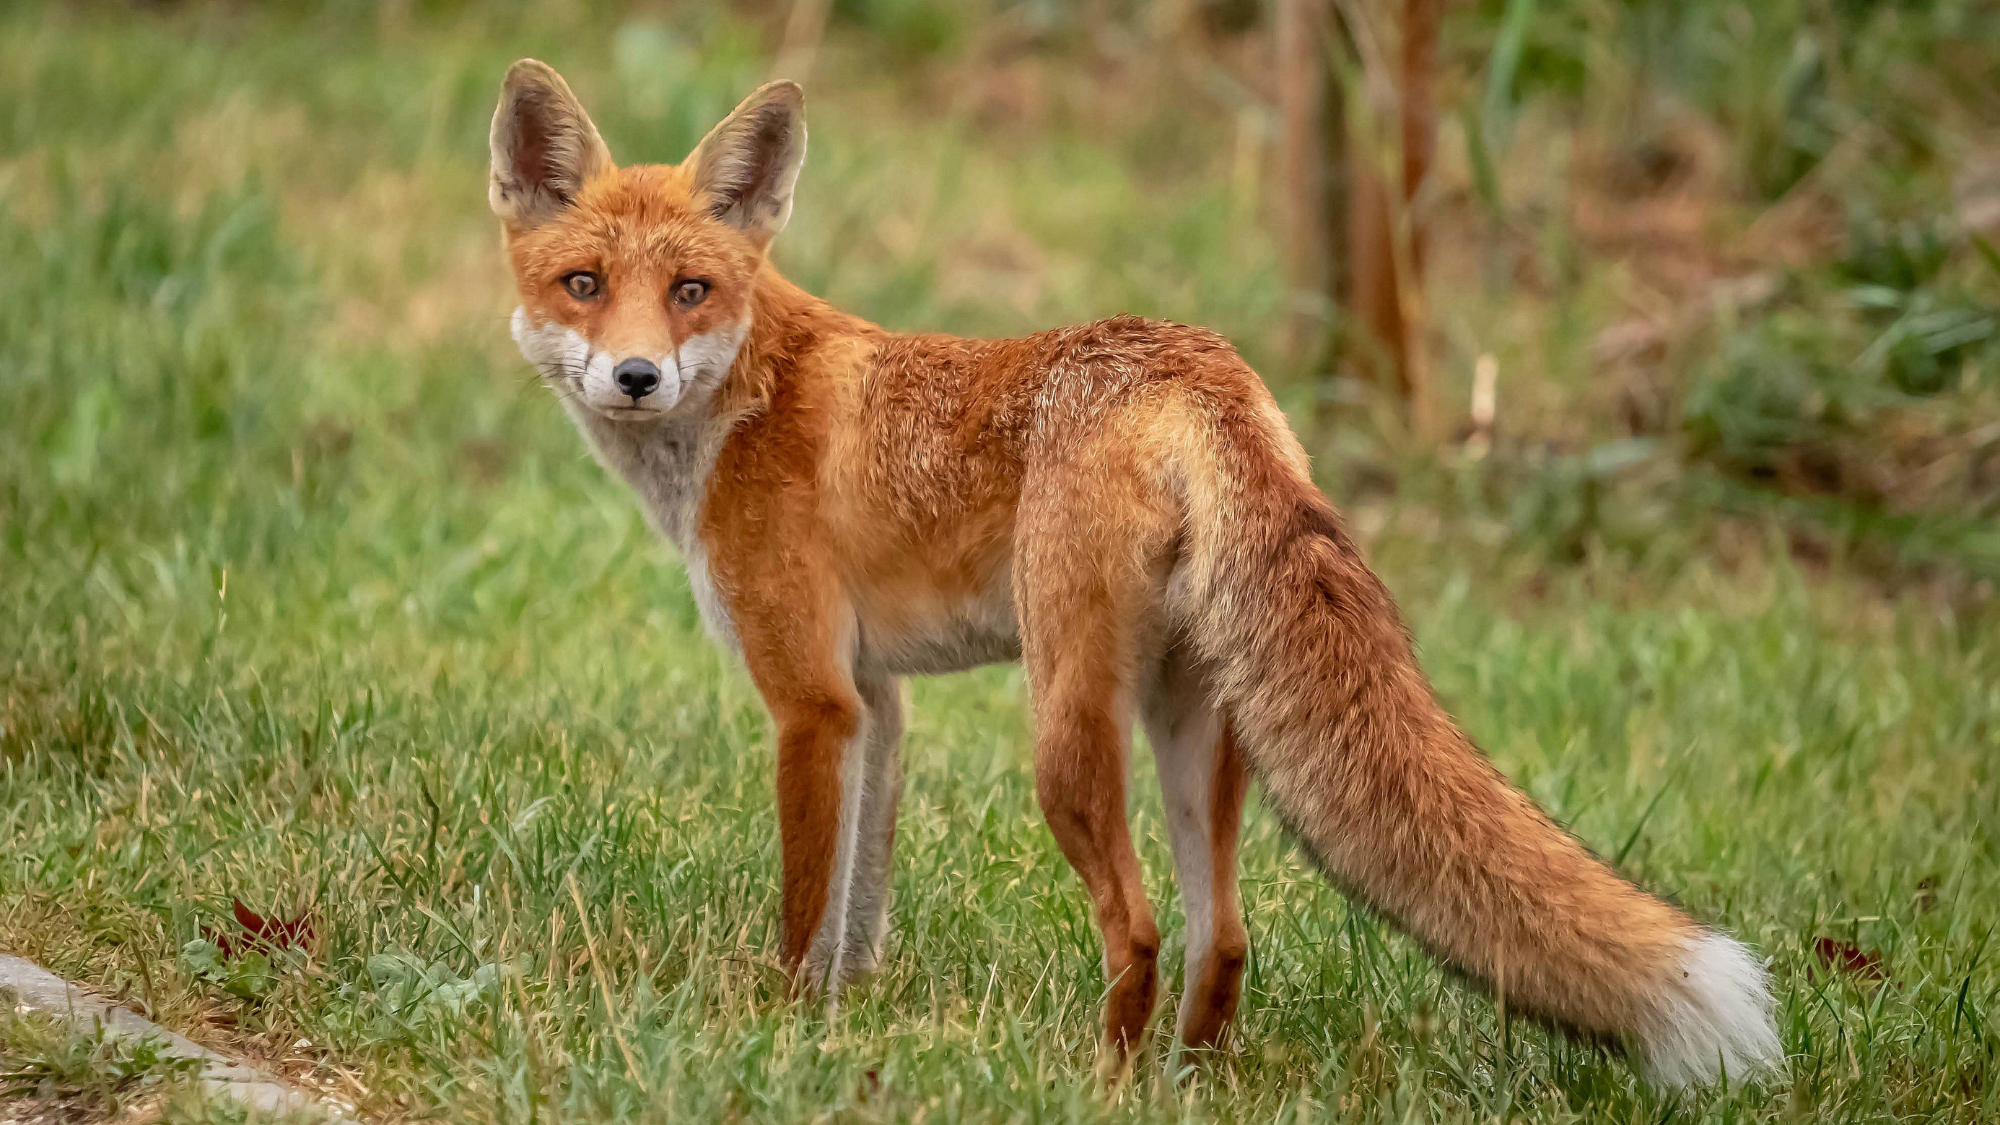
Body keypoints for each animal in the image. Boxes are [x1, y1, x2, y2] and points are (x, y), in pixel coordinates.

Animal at [488, 59, 1783, 1087]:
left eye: (690, 291)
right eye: (584, 286)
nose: (638, 377)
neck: (743, 404)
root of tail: (1195, 362)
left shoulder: (810, 700)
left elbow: (808, 909)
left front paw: (780, 1029)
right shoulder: (876, 702)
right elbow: (860, 906)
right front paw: (842, 1024)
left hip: (1065, 734)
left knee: (1142, 930)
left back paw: (1100, 1077)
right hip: (1194, 727)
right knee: (1224, 938)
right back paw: (1189, 1080)